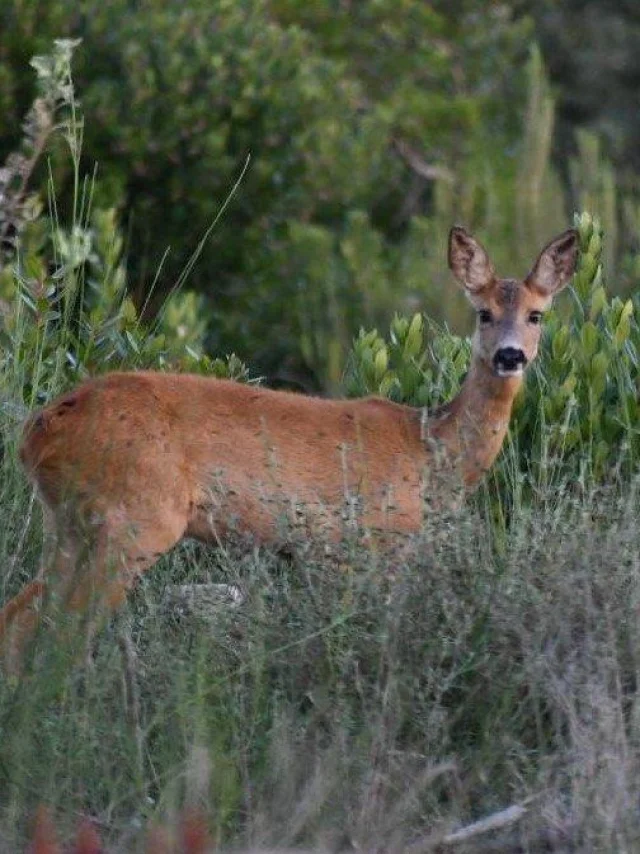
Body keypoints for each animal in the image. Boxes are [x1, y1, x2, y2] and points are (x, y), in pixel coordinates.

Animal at [0, 226, 580, 664]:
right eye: (483, 313)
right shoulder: (370, 542)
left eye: (537, 314)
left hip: (68, 524)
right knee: (63, 636)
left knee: (21, 620)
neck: (430, 451)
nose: (510, 356)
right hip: (134, 519)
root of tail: (39, 429)